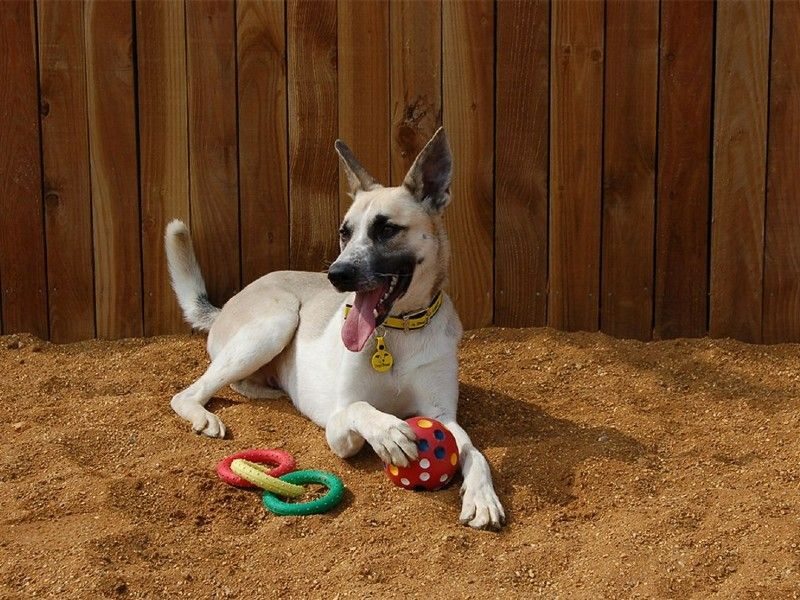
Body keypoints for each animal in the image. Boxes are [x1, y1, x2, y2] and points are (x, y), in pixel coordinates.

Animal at [165, 129, 504, 528]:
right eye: (345, 232)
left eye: (387, 229)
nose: (336, 275)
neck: (398, 333)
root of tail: (225, 307)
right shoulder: (338, 426)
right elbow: (360, 407)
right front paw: (389, 432)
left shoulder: (441, 416)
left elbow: (474, 451)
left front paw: (482, 497)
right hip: (277, 322)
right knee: (189, 392)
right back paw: (205, 415)